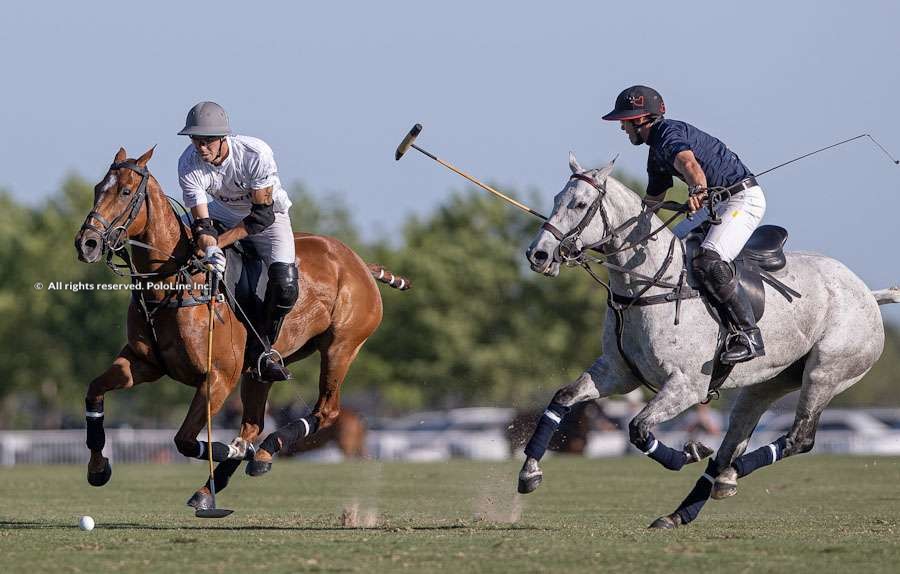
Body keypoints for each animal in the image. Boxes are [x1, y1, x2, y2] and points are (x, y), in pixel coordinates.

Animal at [75, 148, 406, 508]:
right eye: (97, 188)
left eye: (124, 191)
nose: (86, 243)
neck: (174, 283)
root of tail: (359, 261)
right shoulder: (143, 363)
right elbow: (94, 391)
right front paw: (97, 469)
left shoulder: (218, 376)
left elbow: (185, 440)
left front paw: (229, 451)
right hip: (259, 370)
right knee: (253, 422)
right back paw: (222, 480)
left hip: (340, 347)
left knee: (325, 410)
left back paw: (262, 452)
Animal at [520, 153, 900, 532]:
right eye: (557, 199)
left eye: (580, 204)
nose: (538, 255)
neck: (647, 286)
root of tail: (867, 293)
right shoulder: (616, 372)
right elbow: (564, 397)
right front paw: (529, 473)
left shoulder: (687, 385)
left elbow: (639, 428)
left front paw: (686, 453)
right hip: (765, 384)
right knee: (732, 445)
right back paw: (686, 508)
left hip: (826, 373)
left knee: (799, 439)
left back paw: (728, 477)